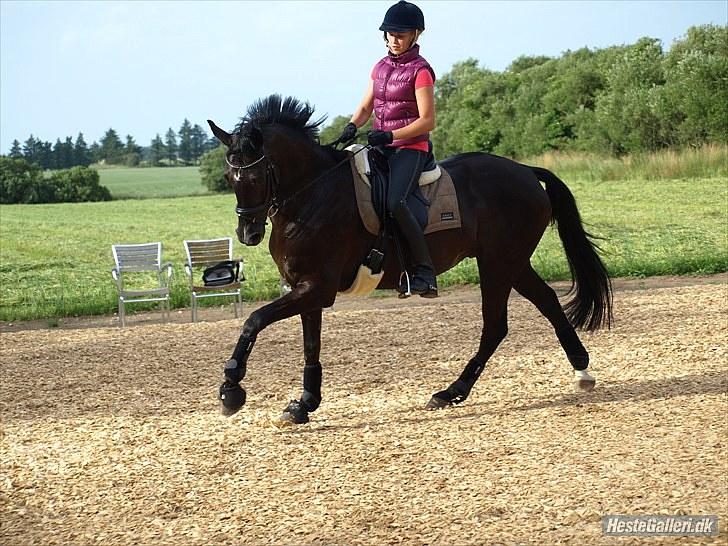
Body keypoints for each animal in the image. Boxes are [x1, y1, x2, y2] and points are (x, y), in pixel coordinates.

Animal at [208, 95, 612, 422]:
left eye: (254, 176)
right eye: (229, 176)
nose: (247, 234)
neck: (313, 195)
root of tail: (525, 171)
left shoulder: (317, 288)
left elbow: (254, 320)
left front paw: (231, 390)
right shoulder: (305, 287)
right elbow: (310, 345)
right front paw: (305, 403)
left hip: (498, 264)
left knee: (496, 326)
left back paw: (451, 392)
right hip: (511, 262)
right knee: (546, 300)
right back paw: (581, 370)